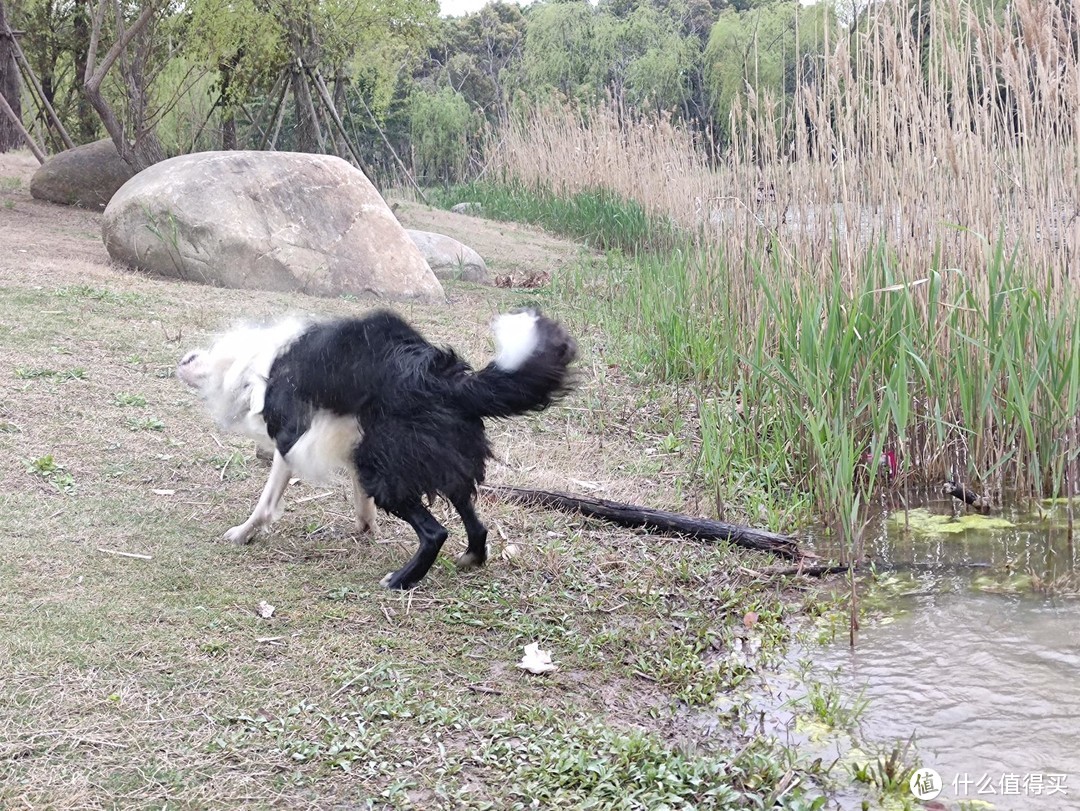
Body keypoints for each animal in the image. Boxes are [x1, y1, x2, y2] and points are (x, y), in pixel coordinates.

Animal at [178, 306, 578, 587]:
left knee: (435, 532)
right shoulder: (350, 442)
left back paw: (401, 580)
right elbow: (359, 498)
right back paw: (471, 558)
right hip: (431, 461)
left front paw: (241, 533)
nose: (182, 359)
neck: (256, 361)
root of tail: (438, 379)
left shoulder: (291, 440)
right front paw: (365, 526)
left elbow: (266, 502)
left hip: (389, 475)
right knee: (474, 522)